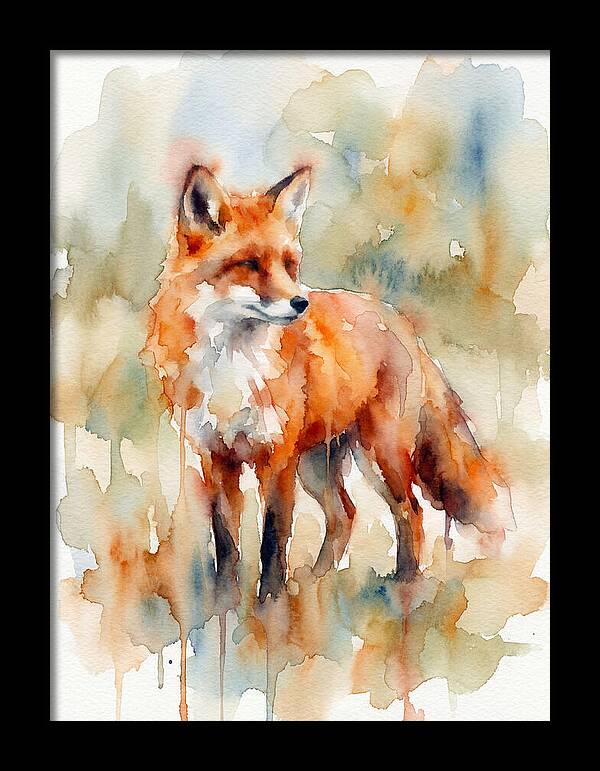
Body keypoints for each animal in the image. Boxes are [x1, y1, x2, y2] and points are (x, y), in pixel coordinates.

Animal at [144, 164, 515, 603]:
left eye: (290, 265)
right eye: (249, 263)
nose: (300, 303)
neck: (233, 366)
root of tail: (398, 320)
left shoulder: (278, 458)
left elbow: (273, 539)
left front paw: (270, 607)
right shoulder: (217, 457)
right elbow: (227, 543)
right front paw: (224, 606)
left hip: (380, 454)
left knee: (410, 511)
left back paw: (404, 588)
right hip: (318, 465)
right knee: (345, 514)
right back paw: (316, 581)